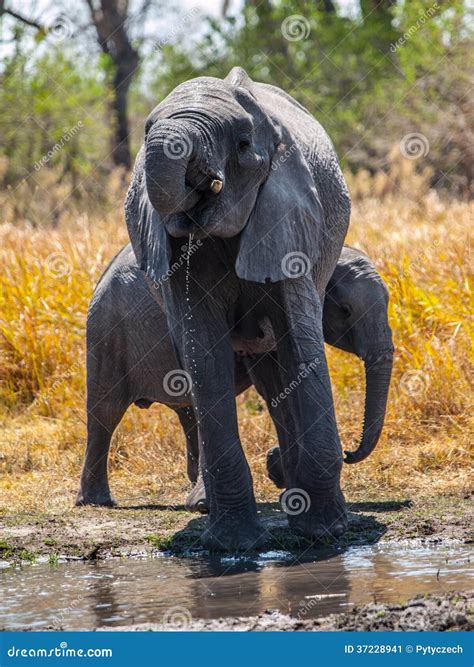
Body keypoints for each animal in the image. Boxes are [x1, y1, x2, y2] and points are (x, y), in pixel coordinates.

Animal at [77, 244, 392, 516]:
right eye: (346, 310)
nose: (349, 452)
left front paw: (282, 474)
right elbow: (272, 387)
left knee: (189, 412)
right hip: (107, 332)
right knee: (105, 412)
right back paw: (98, 502)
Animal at [121, 65, 352, 552]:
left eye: (244, 144)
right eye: (146, 131)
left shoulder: (290, 217)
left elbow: (301, 343)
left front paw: (325, 533)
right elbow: (204, 357)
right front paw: (232, 546)